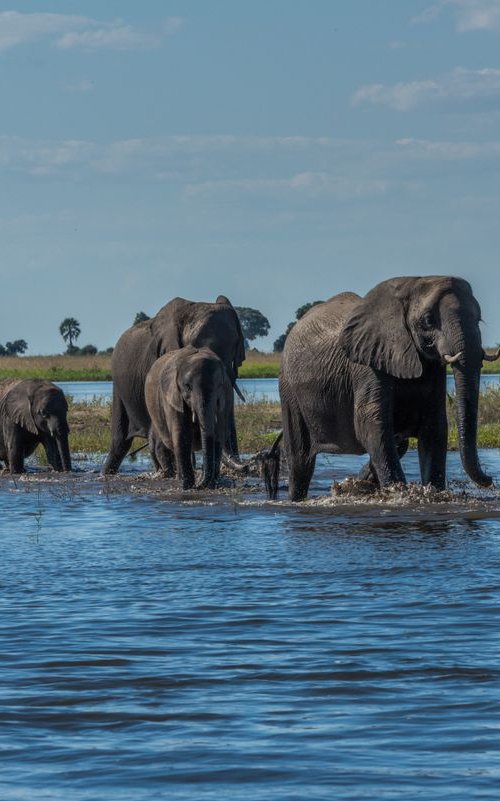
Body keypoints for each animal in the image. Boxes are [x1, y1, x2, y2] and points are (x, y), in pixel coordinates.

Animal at [144, 344, 231, 488]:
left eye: (219, 385)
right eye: (188, 387)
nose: (201, 483)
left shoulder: (224, 397)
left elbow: (218, 436)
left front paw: (211, 484)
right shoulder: (173, 397)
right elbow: (182, 436)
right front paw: (187, 485)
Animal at [280, 276, 498, 500]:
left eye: (479, 318)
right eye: (428, 320)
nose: (490, 479)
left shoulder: (432, 367)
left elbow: (434, 426)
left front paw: (434, 493)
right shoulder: (367, 362)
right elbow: (372, 423)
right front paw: (398, 492)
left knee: (399, 444)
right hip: (289, 389)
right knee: (300, 460)